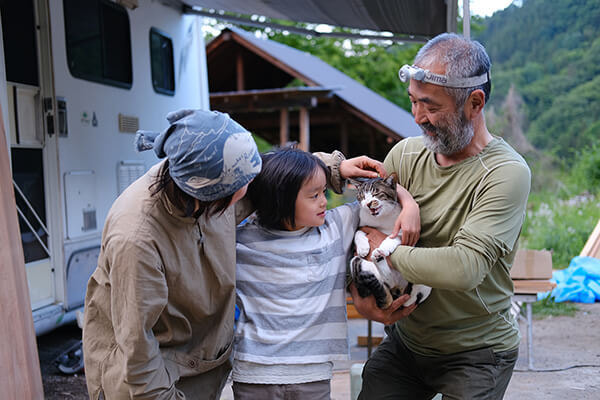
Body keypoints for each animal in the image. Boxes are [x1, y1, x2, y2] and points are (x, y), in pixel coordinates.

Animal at [352, 175, 432, 310]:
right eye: (362, 196)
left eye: (376, 193)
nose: (368, 204)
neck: (381, 218)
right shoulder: (362, 224)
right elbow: (357, 233)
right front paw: (363, 248)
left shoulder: (406, 233)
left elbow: (393, 237)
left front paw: (385, 247)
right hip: (362, 265)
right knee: (388, 283)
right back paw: (378, 259)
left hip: (423, 270)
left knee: (409, 300)